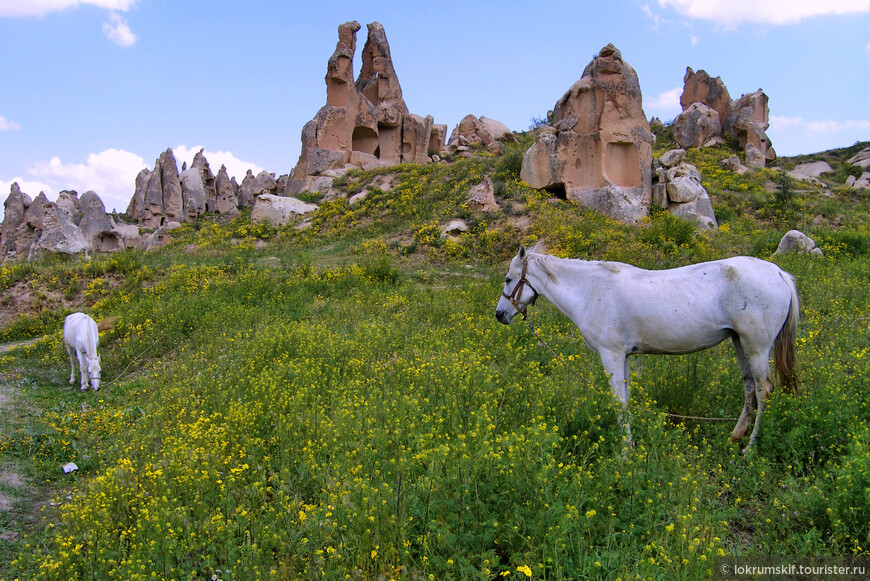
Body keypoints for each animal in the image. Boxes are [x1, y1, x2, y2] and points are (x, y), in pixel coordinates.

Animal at [494, 242, 800, 450]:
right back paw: (735, 437)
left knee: (763, 390)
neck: (591, 290)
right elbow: (626, 399)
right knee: (749, 387)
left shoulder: (612, 355)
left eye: (508, 279)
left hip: (756, 348)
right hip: (739, 343)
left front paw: (625, 451)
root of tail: (778, 273)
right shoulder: (625, 357)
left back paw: (750, 447)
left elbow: (618, 402)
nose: (500, 315)